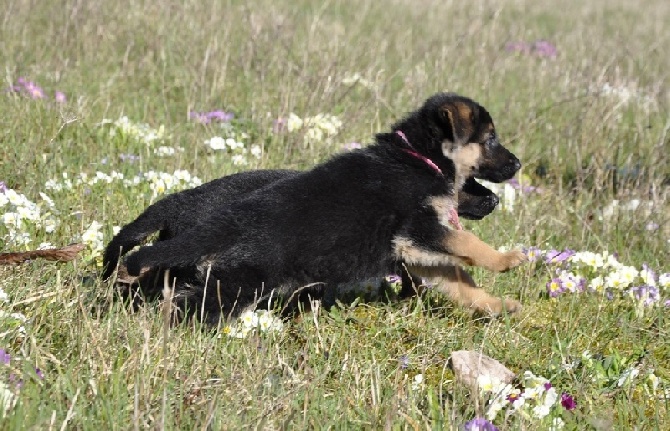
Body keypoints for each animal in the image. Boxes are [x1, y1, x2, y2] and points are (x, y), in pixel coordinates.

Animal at [124, 93, 524, 324]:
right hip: (242, 280)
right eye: (490, 139)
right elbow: (469, 244)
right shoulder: (418, 230)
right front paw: (507, 259)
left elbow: (461, 281)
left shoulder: (415, 250)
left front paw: (497, 305)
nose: (518, 164)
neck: (418, 157)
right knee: (189, 306)